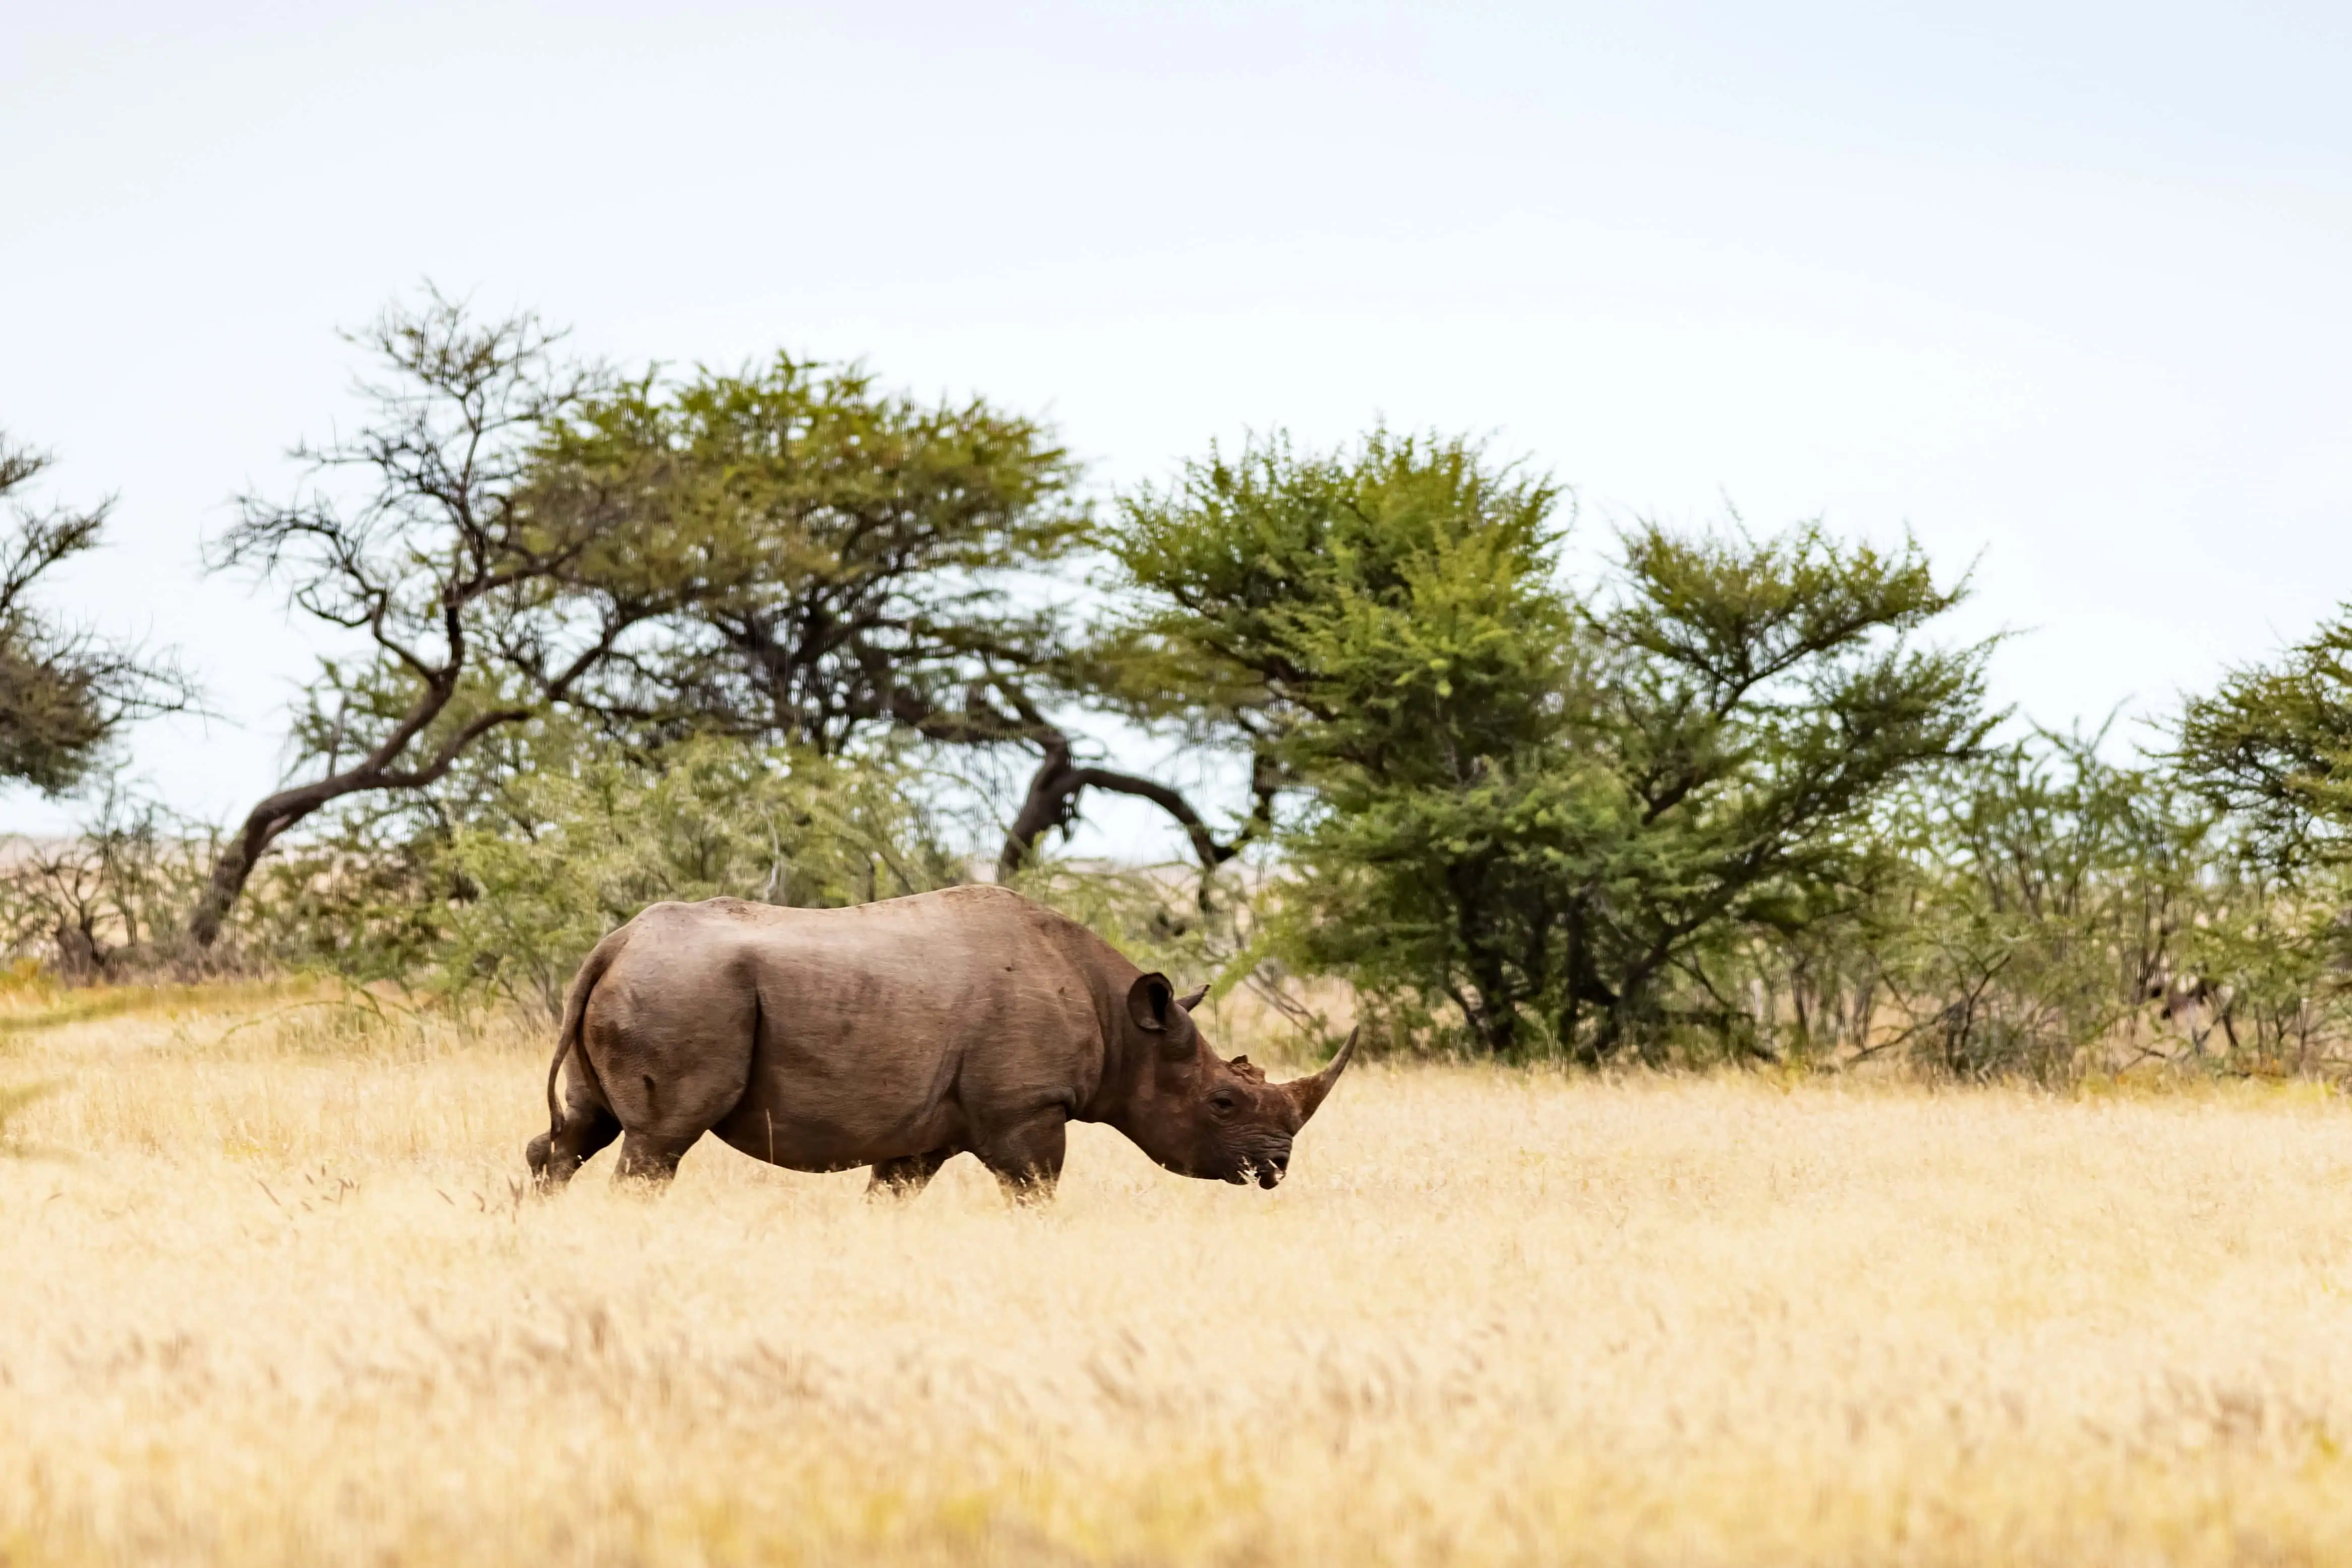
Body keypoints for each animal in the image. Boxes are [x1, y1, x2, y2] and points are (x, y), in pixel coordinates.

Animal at [525, 885, 1357, 1199]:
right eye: (1222, 1101)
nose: (1276, 1168)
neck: (1125, 1027)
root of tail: (614, 943)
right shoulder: (1026, 1110)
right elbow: (1037, 1190)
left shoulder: (925, 1129)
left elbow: (890, 1192)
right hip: (684, 990)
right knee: (658, 1143)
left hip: (655, 981)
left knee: (580, 1132)